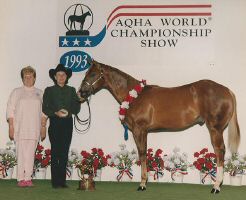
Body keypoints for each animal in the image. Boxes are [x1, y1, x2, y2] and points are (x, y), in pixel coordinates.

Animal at [78, 59, 240, 194]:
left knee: (219, 151)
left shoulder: (139, 130)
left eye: (93, 74)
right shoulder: (143, 132)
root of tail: (227, 90)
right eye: (86, 73)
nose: (80, 93)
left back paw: (216, 186)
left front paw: (142, 184)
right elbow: (144, 154)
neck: (134, 96)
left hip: (215, 129)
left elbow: (142, 154)